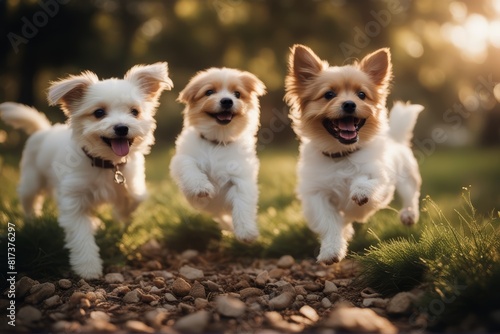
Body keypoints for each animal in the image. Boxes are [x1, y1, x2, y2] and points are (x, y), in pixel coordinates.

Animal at [0, 63, 173, 280]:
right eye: (99, 112)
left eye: (135, 112)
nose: (122, 127)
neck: (106, 164)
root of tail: (44, 129)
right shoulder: (74, 201)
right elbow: (81, 236)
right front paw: (88, 268)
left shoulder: (132, 185)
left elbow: (133, 200)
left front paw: (121, 219)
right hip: (32, 181)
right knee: (29, 202)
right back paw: (32, 223)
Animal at [170, 66, 266, 241]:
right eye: (209, 92)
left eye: (237, 94)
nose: (227, 101)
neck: (218, 142)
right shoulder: (183, 158)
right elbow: (190, 167)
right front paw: (201, 186)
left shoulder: (241, 179)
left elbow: (243, 204)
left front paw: (246, 232)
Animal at [286, 44, 422, 264]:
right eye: (329, 94)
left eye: (361, 95)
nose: (349, 104)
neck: (342, 154)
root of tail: (396, 137)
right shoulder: (316, 195)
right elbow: (330, 223)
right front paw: (332, 249)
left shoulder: (381, 180)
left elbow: (365, 183)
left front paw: (360, 191)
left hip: (406, 177)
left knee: (411, 195)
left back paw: (409, 214)